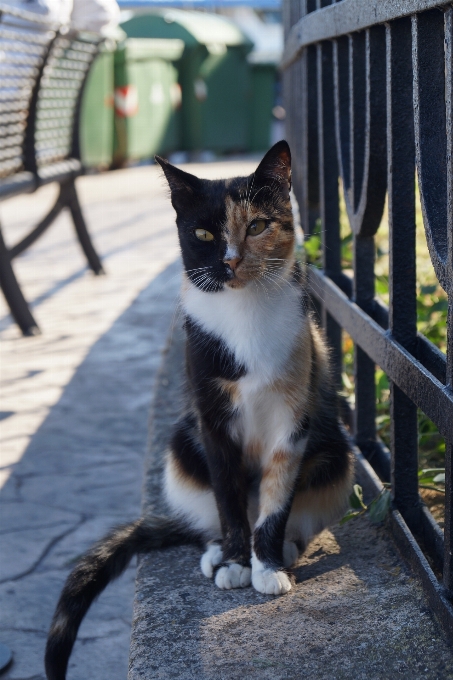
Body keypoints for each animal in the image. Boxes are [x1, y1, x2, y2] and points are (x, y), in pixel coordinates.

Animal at [44, 142, 354, 680]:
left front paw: (266, 566)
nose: (230, 262)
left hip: (335, 450)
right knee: (203, 518)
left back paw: (285, 549)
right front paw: (234, 563)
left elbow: (275, 502)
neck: (245, 315)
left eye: (257, 225)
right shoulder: (212, 422)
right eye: (204, 235)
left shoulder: (292, 421)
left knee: (298, 506)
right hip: (181, 444)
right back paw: (215, 554)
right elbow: (228, 501)